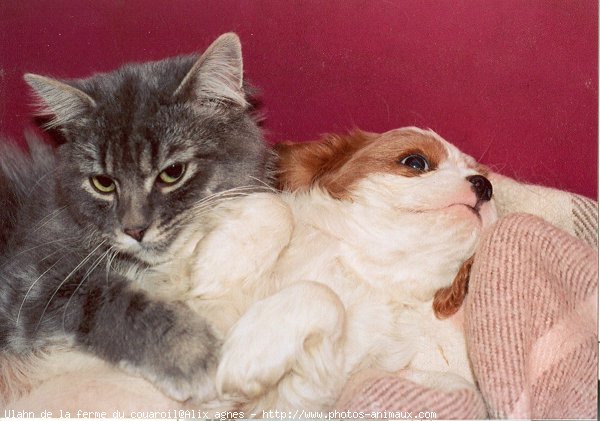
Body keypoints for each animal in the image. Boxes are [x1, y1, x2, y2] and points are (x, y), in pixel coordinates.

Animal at [0, 32, 272, 404]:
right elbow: (116, 302)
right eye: (103, 183)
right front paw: (192, 354)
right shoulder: (29, 281)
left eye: (173, 172)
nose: (134, 229)